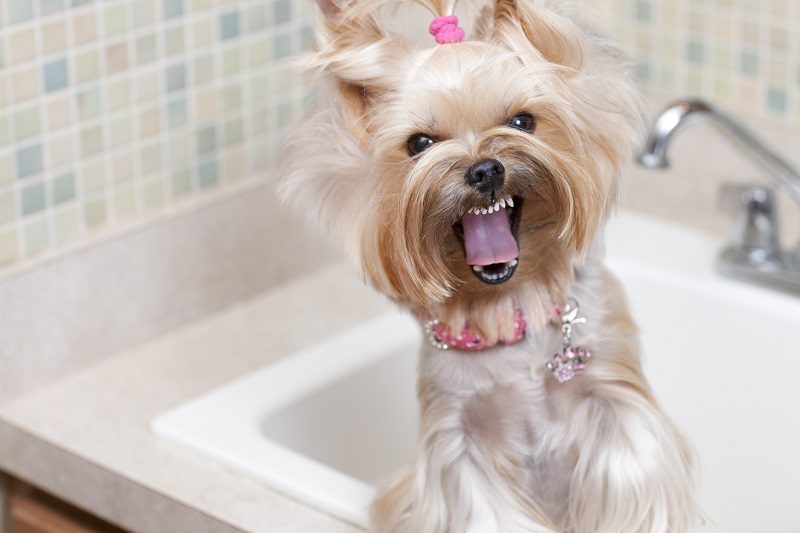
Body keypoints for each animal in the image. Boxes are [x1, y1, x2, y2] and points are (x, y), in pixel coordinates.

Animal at [278, 0, 696, 528]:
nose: (484, 169)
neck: (506, 307)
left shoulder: (617, 406)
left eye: (522, 121)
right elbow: (484, 508)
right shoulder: (458, 440)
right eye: (420, 143)